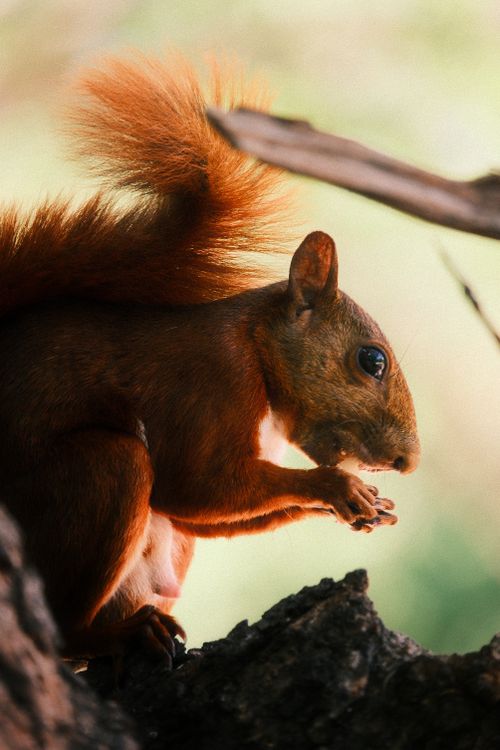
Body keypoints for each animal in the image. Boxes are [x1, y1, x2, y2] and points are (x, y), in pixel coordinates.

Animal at [0, 53, 420, 659]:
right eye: (372, 361)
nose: (408, 461)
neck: (255, 348)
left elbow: (204, 515)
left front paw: (365, 502)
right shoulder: (208, 380)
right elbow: (194, 487)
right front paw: (336, 487)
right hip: (94, 476)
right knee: (65, 631)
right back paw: (117, 634)